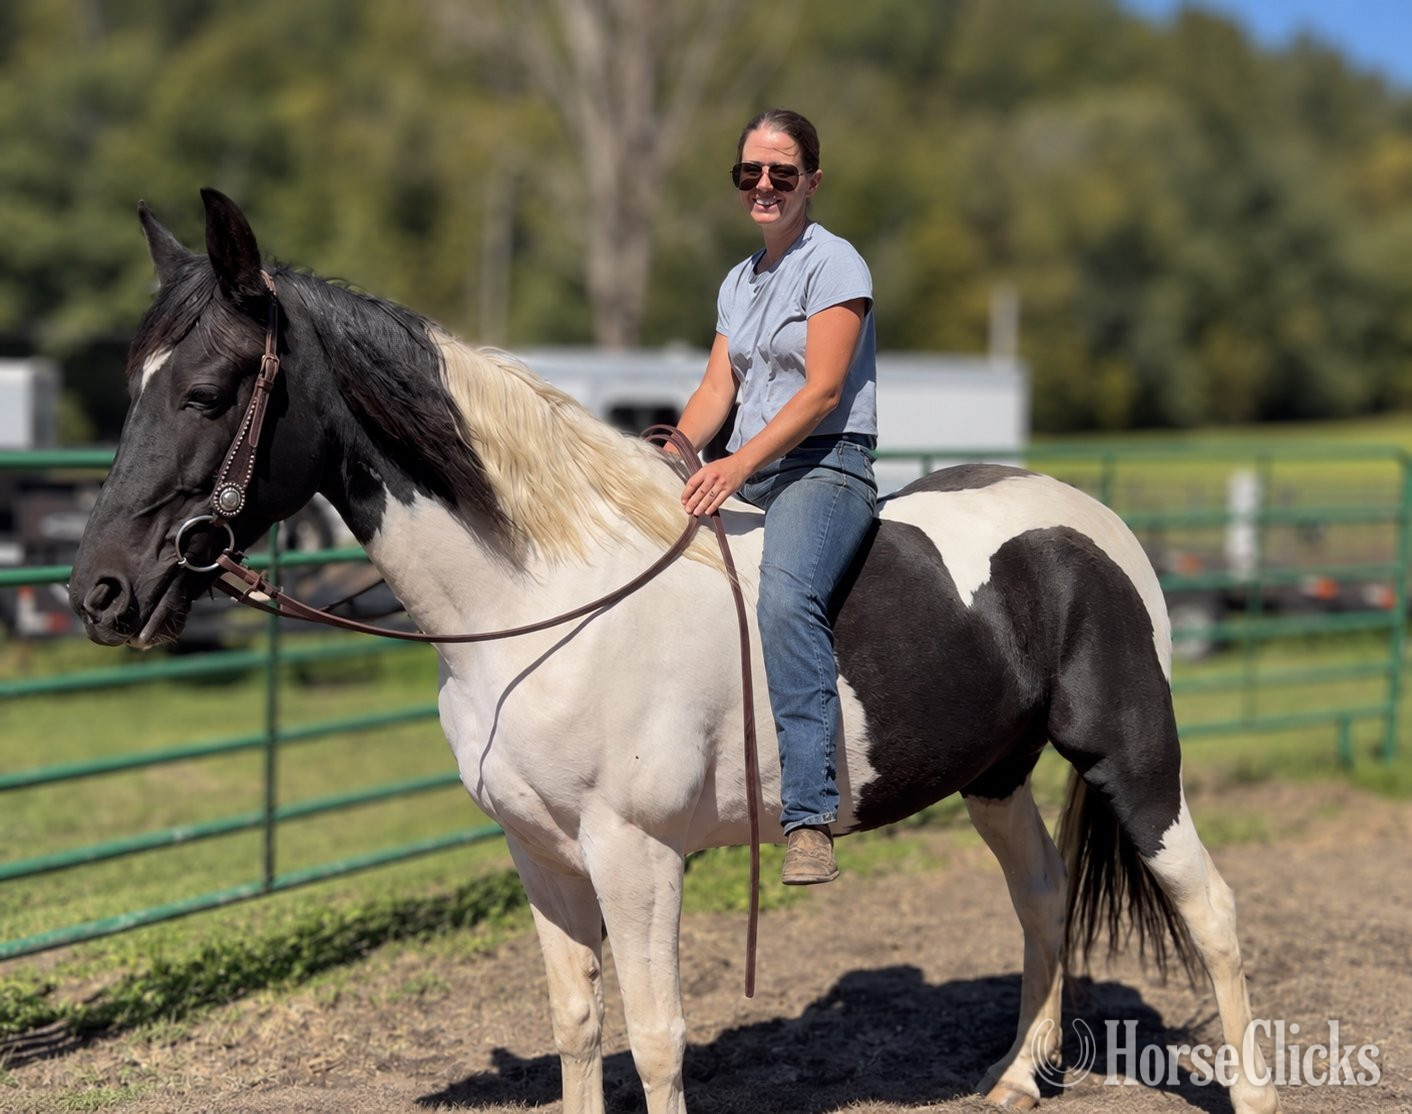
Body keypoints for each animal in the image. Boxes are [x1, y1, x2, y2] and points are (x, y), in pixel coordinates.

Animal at [68, 189, 1281, 1114]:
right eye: (132, 387)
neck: (549, 598)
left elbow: (654, 1037)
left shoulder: (635, 856)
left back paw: (1251, 1089)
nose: (99, 592)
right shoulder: (542, 855)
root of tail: (1085, 519)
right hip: (992, 776)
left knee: (1212, 911)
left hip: (1135, 763)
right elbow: (576, 1022)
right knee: (1040, 900)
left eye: (206, 391)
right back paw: (1018, 1078)